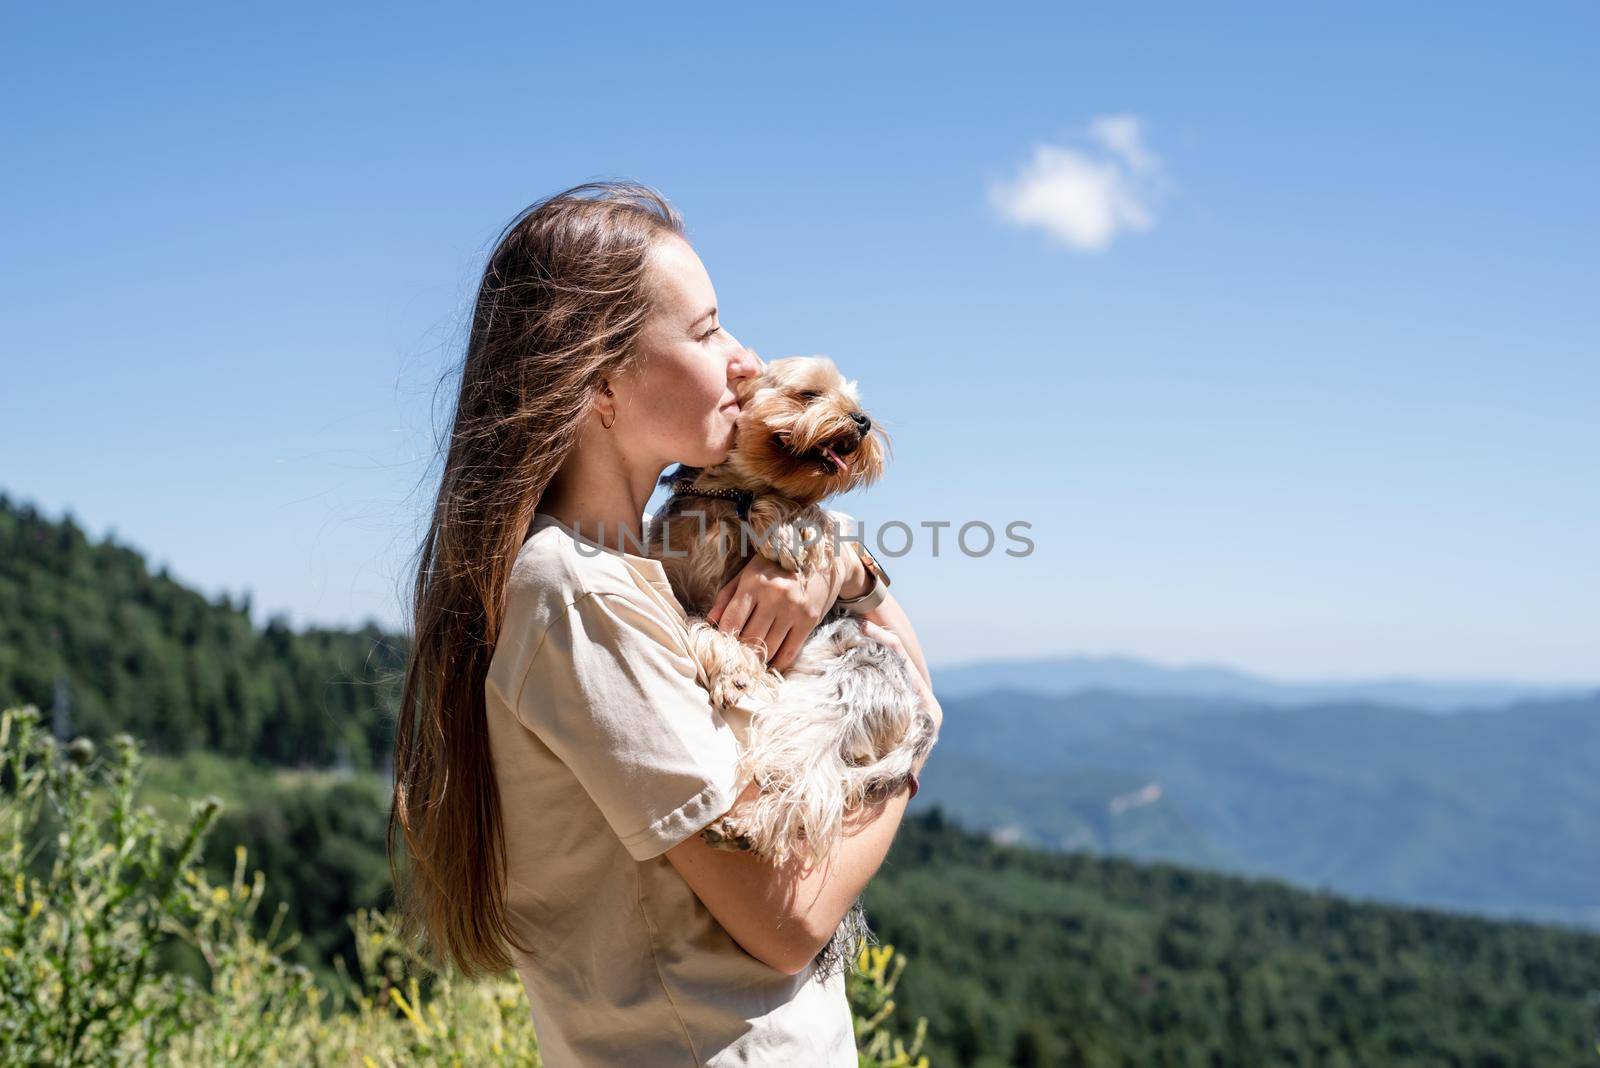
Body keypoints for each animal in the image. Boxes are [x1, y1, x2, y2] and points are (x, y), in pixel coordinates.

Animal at [640, 358, 934, 876]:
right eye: (809, 393)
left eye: (853, 401)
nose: (862, 420)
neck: (725, 495)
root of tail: (919, 719)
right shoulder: (675, 585)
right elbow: (699, 625)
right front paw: (734, 667)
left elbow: (804, 511)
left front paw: (782, 531)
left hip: (832, 702)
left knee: (814, 778)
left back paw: (747, 828)